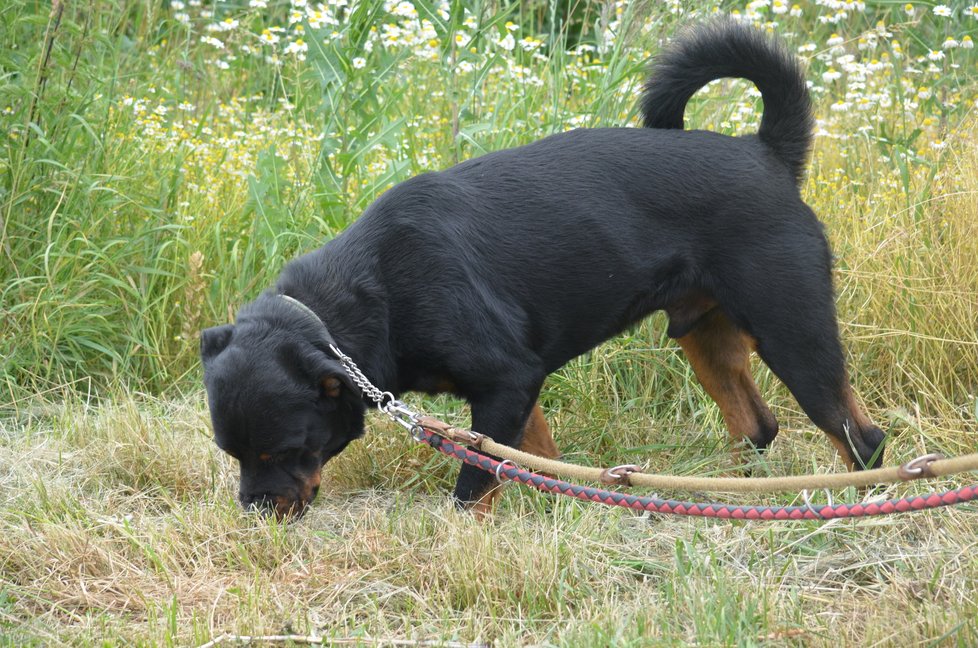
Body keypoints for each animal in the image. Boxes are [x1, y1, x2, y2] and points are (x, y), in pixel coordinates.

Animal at [200, 21, 884, 520]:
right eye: (233, 454)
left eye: (286, 449)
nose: (254, 511)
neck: (376, 292)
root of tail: (764, 151)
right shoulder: (514, 390)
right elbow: (533, 459)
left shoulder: (506, 380)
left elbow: (474, 484)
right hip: (705, 335)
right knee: (757, 425)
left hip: (794, 331)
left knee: (860, 436)